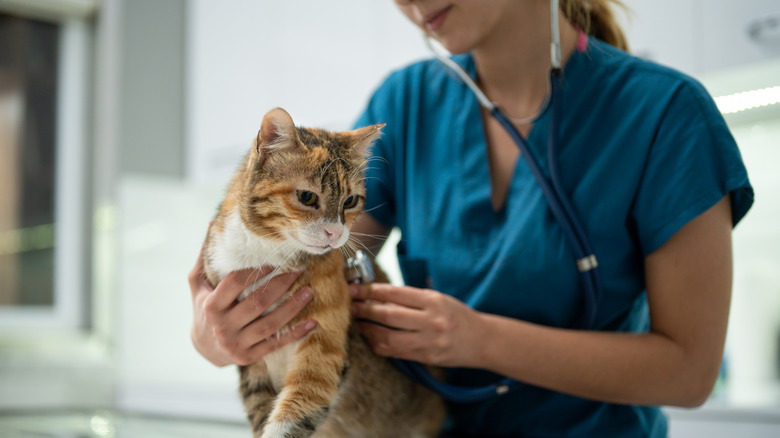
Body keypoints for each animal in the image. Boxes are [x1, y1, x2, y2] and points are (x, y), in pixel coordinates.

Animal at [201, 108, 444, 438]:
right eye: (307, 197)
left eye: (350, 201)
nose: (335, 233)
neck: (267, 255)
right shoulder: (250, 361)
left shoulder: (322, 352)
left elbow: (294, 411)